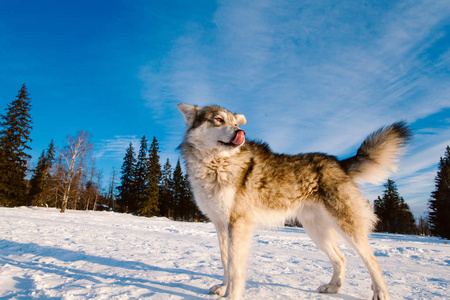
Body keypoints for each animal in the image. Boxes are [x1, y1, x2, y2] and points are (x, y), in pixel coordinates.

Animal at [177, 103, 412, 300]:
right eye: (218, 120)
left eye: (236, 124)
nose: (240, 133)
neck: (217, 164)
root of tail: (338, 163)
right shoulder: (220, 224)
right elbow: (225, 262)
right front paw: (223, 288)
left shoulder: (237, 224)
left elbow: (235, 268)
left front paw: (231, 296)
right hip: (316, 232)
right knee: (341, 259)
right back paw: (332, 287)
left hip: (347, 227)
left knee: (372, 261)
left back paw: (380, 293)